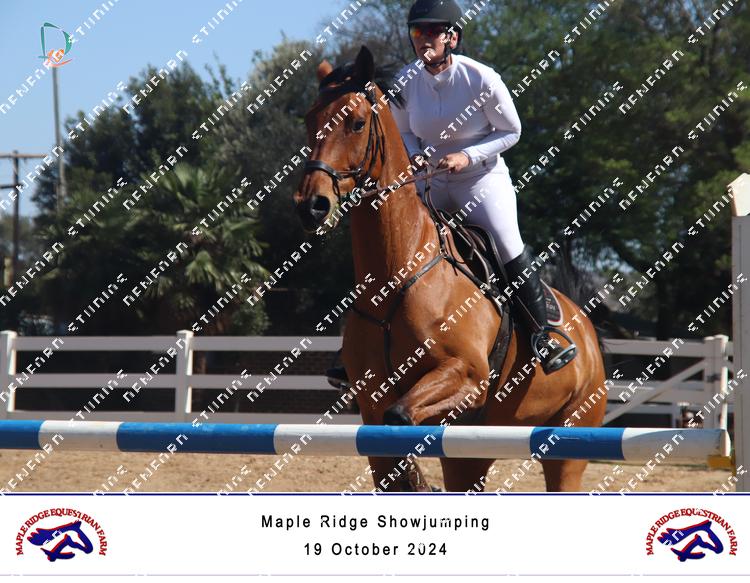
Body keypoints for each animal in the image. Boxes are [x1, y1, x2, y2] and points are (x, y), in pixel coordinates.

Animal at [293, 46, 607, 492]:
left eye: (356, 122)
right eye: (310, 120)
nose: (311, 206)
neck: (396, 276)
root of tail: (586, 328)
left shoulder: (468, 377)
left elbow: (400, 416)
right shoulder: (371, 398)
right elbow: (388, 450)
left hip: (568, 446)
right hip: (473, 451)